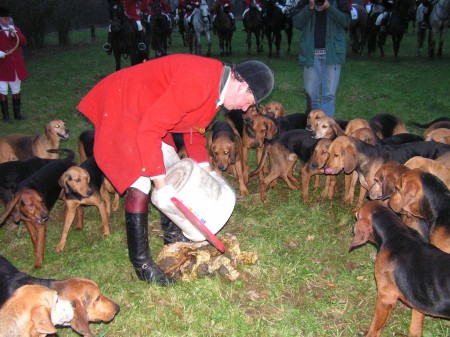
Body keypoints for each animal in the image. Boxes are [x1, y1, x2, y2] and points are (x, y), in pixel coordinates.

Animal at [352, 200, 450, 336]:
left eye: (358, 214)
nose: (354, 211)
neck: (396, 235)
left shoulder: (386, 298)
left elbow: (374, 328)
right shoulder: (418, 302)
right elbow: (415, 329)